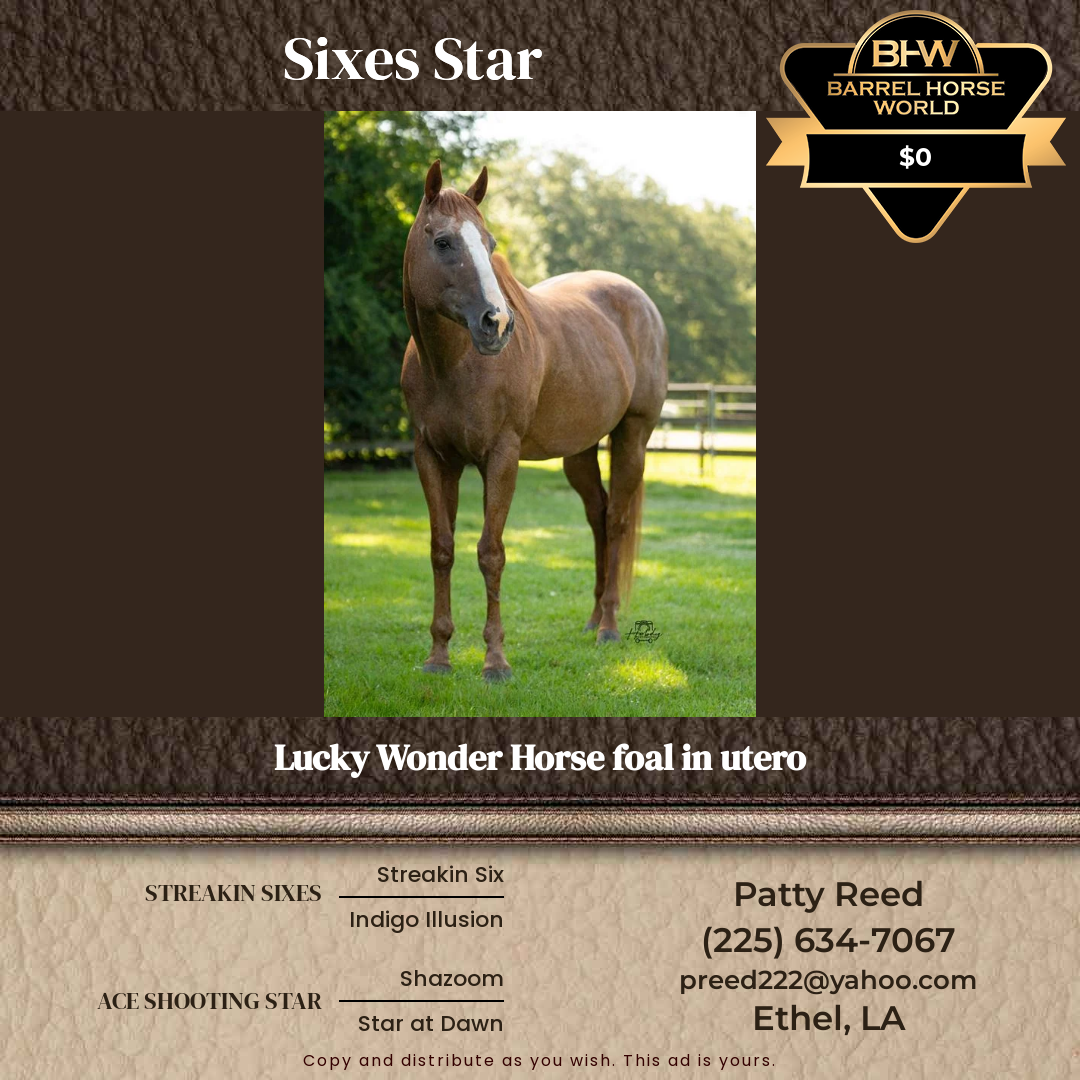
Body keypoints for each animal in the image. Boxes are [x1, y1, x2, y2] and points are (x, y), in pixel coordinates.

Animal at [400, 160, 668, 681]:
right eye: (442, 241)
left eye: (489, 243)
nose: (497, 323)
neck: (452, 365)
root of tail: (642, 302)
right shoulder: (433, 457)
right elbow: (442, 548)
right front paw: (438, 656)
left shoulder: (501, 456)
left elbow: (491, 553)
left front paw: (495, 662)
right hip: (581, 451)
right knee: (599, 515)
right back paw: (592, 620)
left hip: (633, 437)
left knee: (618, 520)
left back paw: (609, 627)